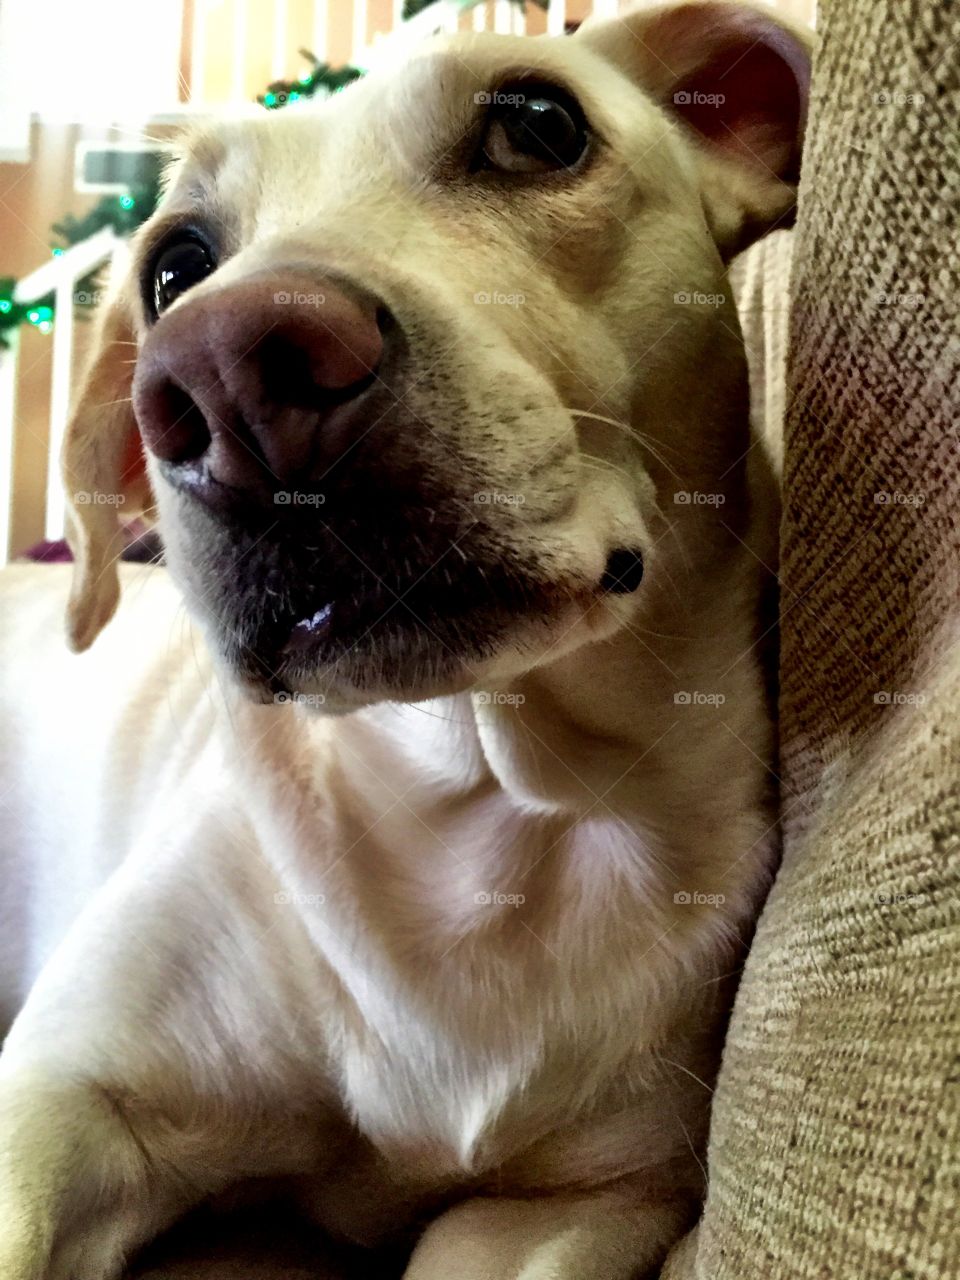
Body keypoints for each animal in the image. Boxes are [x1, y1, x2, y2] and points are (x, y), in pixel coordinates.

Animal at [0, 5, 814, 1274]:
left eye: (538, 123)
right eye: (175, 266)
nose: (229, 376)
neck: (491, 809)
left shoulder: (571, 1202)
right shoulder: (59, 1100)